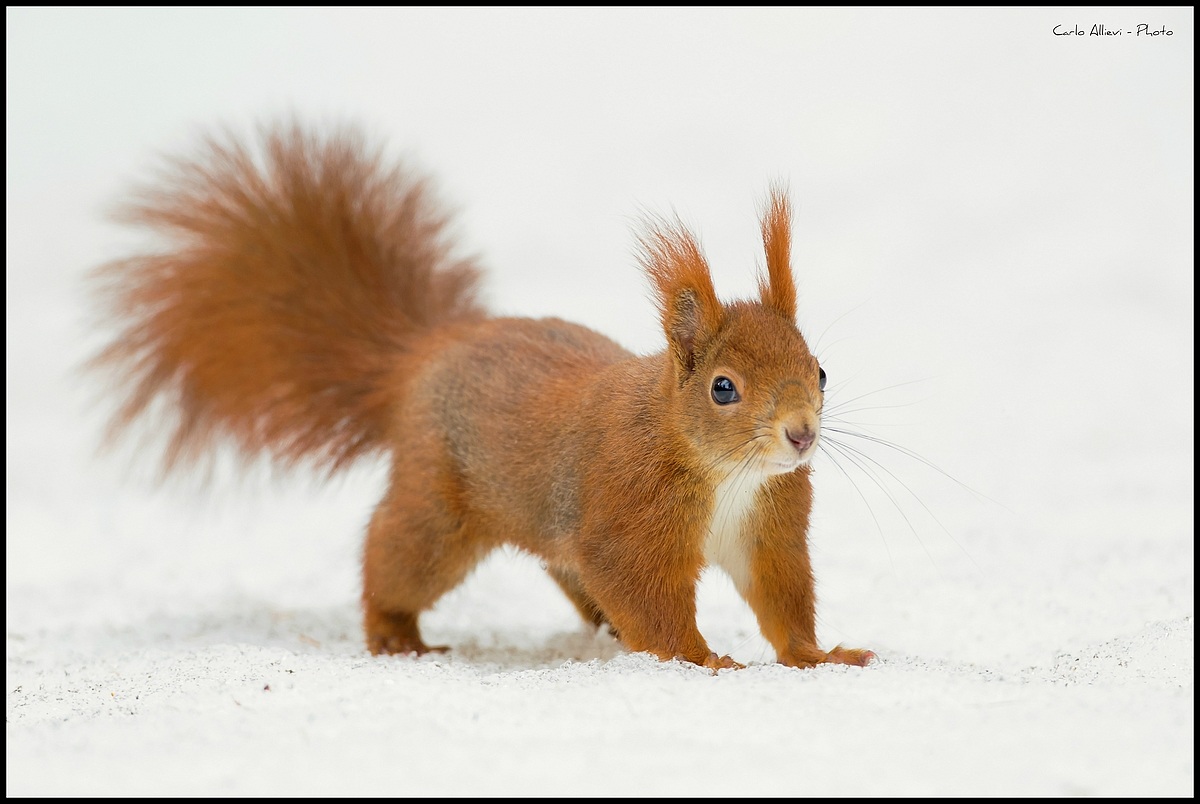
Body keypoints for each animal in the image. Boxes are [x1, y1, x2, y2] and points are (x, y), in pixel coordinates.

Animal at [91, 121, 875, 671]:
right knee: (392, 558)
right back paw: (396, 635)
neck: (729, 473)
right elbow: (646, 595)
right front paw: (701, 659)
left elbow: (782, 594)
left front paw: (819, 656)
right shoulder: (630, 511)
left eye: (821, 372)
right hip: (439, 511)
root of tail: (421, 356)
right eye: (723, 388)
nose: (801, 434)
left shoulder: (770, 524)